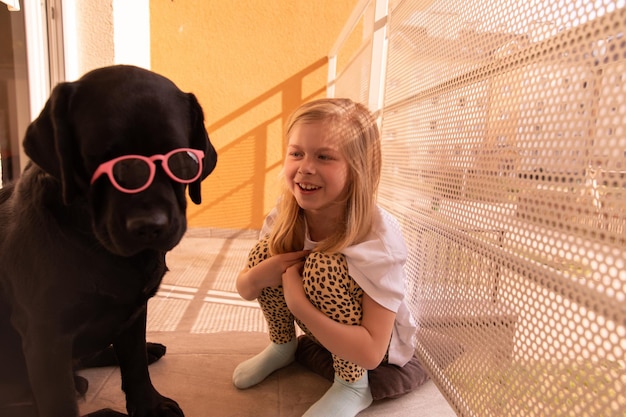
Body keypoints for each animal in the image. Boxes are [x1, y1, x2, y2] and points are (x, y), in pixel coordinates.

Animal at [0, 65, 217, 416]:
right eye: (98, 160)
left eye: (182, 159)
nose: (150, 226)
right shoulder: (45, 336)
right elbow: (60, 402)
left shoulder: (134, 308)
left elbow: (135, 365)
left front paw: (149, 406)